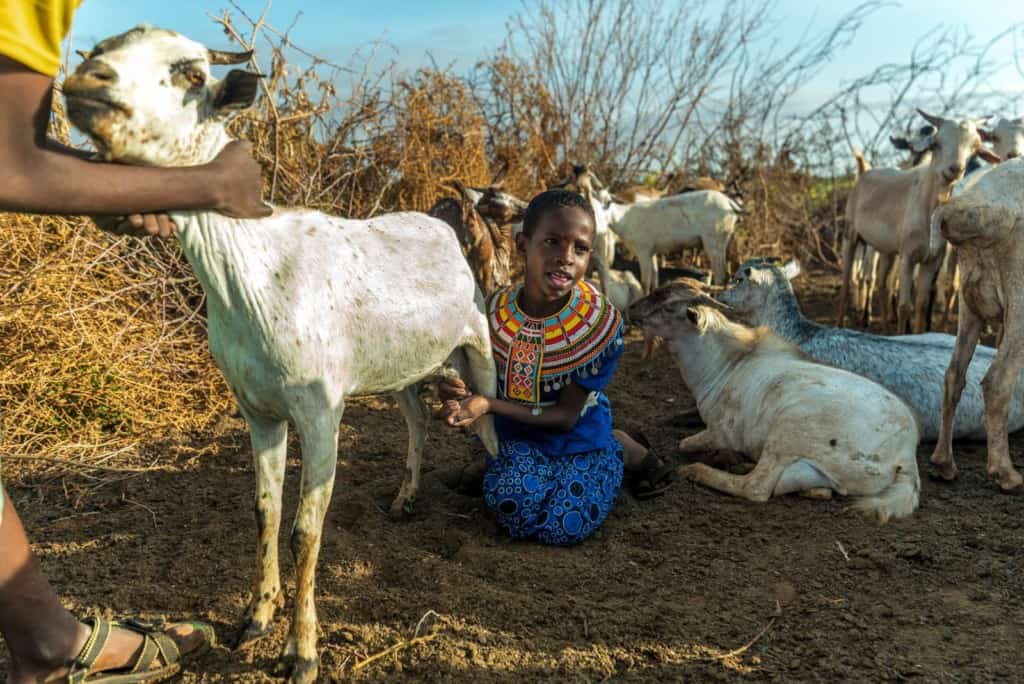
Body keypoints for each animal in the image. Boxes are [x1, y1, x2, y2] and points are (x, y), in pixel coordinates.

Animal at [61, 26, 497, 684]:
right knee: (418, 421)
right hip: (402, 367)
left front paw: (302, 652)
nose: (86, 82)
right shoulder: (258, 408)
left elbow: (304, 531)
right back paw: (405, 498)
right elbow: (264, 510)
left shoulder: (320, 412)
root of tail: (447, 218)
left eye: (192, 74)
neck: (252, 273)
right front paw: (254, 618)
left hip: (481, 338)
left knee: (494, 420)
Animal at [626, 278, 925, 524]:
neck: (728, 365)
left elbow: (684, 444)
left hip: (789, 429)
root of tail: (906, 456)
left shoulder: (720, 432)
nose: (631, 310)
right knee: (809, 488)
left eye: (669, 307)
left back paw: (699, 470)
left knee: (755, 487)